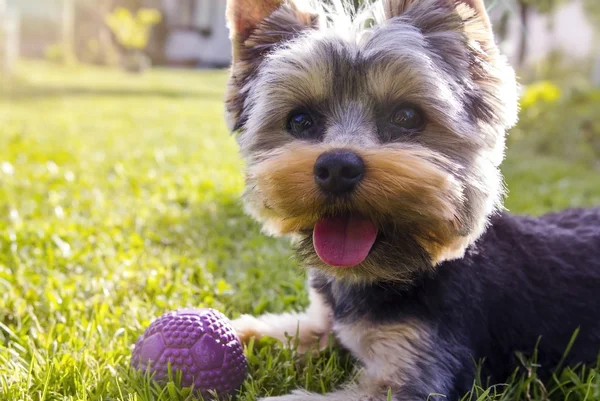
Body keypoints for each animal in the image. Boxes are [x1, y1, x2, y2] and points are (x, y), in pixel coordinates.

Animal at [223, 1, 600, 398]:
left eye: (406, 116)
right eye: (299, 121)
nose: (338, 166)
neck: (391, 271)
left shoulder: (416, 370)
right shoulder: (322, 323)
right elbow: (286, 329)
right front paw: (231, 330)